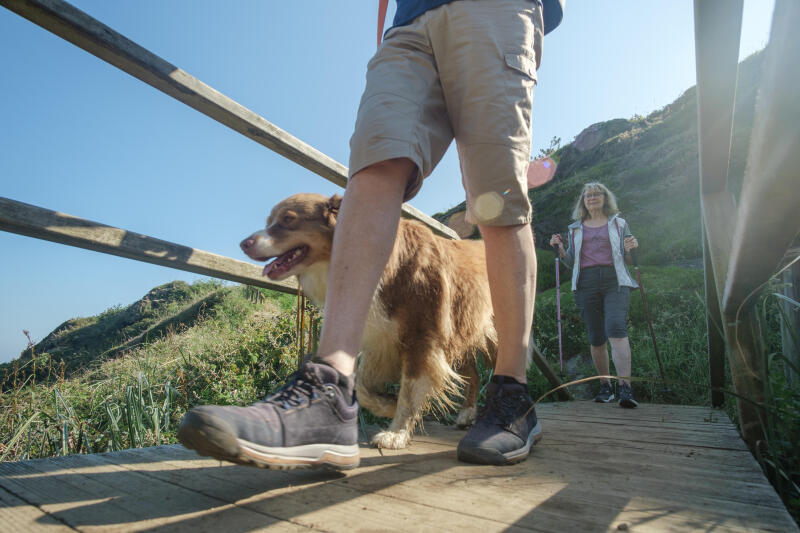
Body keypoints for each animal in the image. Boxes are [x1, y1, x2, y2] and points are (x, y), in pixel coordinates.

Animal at [241, 193, 496, 446]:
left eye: (288, 219)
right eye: (269, 221)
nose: (244, 243)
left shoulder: (422, 336)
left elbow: (410, 390)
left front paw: (396, 433)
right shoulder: (381, 338)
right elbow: (362, 386)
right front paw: (389, 405)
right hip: (461, 332)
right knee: (474, 374)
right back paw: (466, 414)